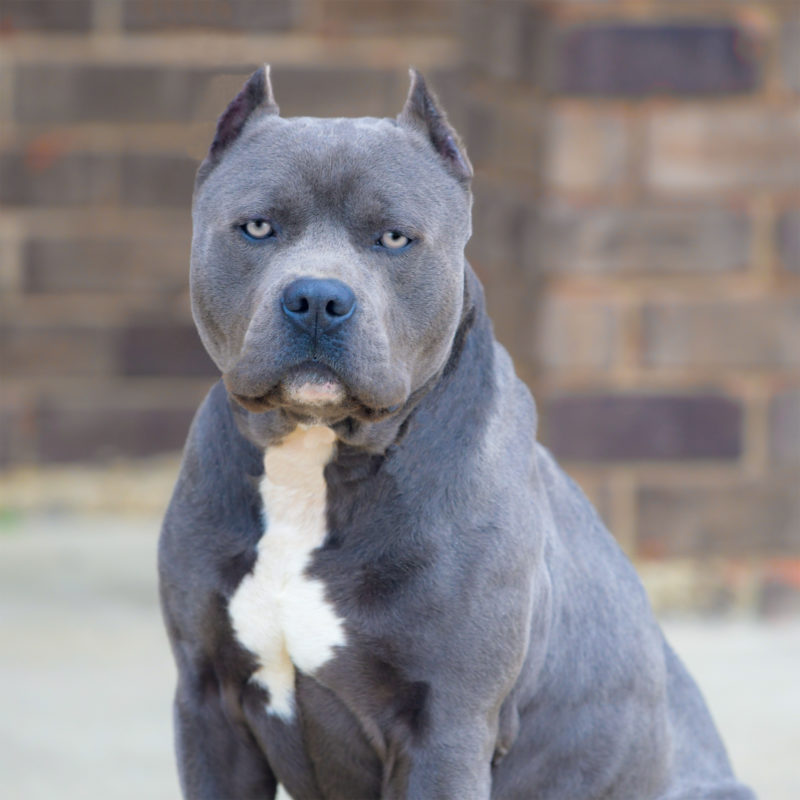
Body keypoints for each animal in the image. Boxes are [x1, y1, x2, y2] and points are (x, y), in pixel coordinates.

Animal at [158, 69, 756, 800]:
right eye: (257, 228)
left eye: (394, 238)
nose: (318, 298)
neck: (315, 460)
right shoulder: (208, 706)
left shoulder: (447, 727)